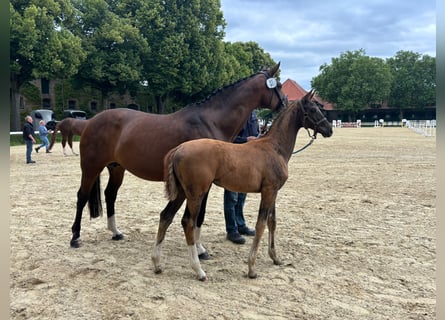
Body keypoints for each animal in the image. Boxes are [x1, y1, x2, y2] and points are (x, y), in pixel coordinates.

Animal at [68, 63, 284, 252]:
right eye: (279, 86)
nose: (286, 104)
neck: (211, 120)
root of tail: (90, 122)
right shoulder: (201, 183)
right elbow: (198, 216)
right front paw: (200, 249)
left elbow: (199, 216)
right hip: (90, 167)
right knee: (81, 196)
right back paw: (75, 237)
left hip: (116, 168)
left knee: (110, 194)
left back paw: (116, 232)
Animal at [158, 90, 332, 280]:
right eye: (312, 109)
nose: (329, 129)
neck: (274, 148)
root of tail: (178, 149)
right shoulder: (268, 191)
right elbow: (260, 225)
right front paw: (252, 268)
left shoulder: (274, 192)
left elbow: (272, 222)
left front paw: (275, 258)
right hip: (196, 194)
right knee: (188, 222)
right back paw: (199, 270)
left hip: (182, 193)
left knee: (166, 216)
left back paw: (157, 264)